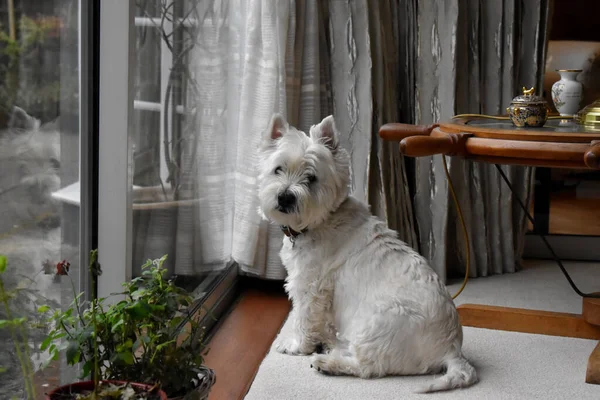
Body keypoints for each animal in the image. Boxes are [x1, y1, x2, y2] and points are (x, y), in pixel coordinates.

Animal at [255, 113, 476, 394]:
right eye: (278, 169)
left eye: (311, 177)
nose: (285, 198)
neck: (321, 221)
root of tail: (451, 350)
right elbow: (322, 322)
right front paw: (321, 339)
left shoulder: (310, 286)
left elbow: (304, 319)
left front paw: (297, 346)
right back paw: (334, 347)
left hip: (378, 321)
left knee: (368, 367)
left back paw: (327, 362)